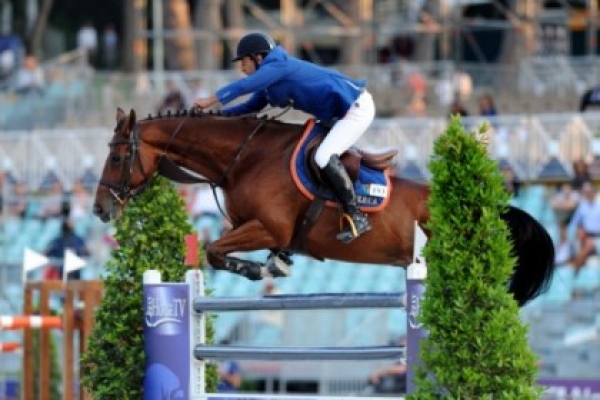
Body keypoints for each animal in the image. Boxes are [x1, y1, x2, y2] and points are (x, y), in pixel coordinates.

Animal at [94, 107, 556, 306]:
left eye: (116, 156)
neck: (244, 157)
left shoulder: (270, 226)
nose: (99, 210)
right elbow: (218, 251)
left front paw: (259, 270)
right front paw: (274, 265)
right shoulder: (259, 228)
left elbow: (214, 251)